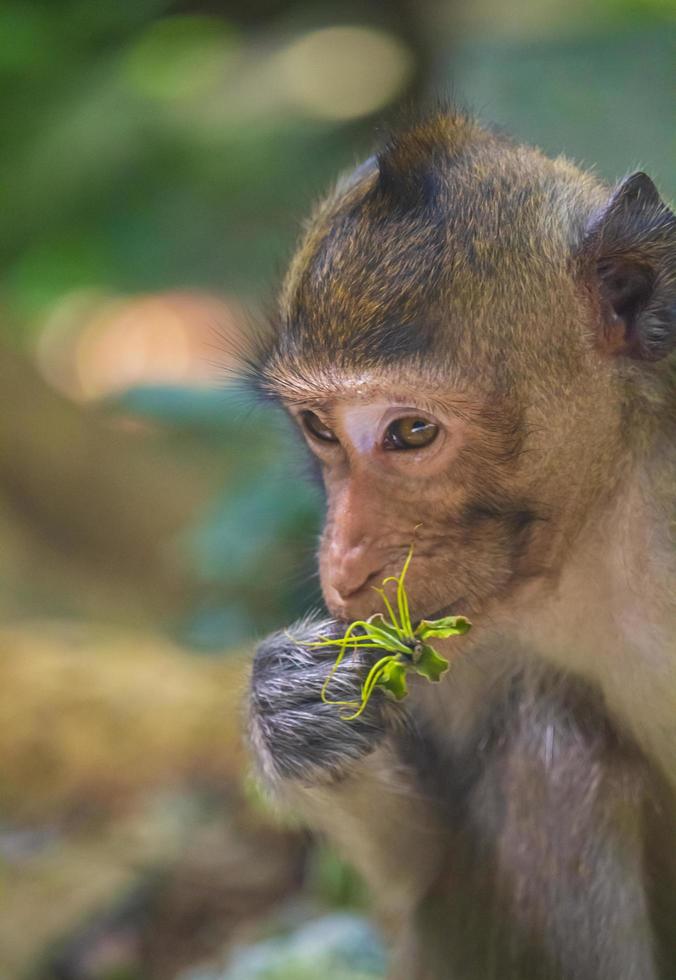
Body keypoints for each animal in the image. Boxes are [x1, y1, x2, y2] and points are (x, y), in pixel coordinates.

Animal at [246, 109, 672, 980]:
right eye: (318, 429)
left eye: (411, 431)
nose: (344, 564)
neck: (601, 516)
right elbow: (420, 862)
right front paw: (291, 707)